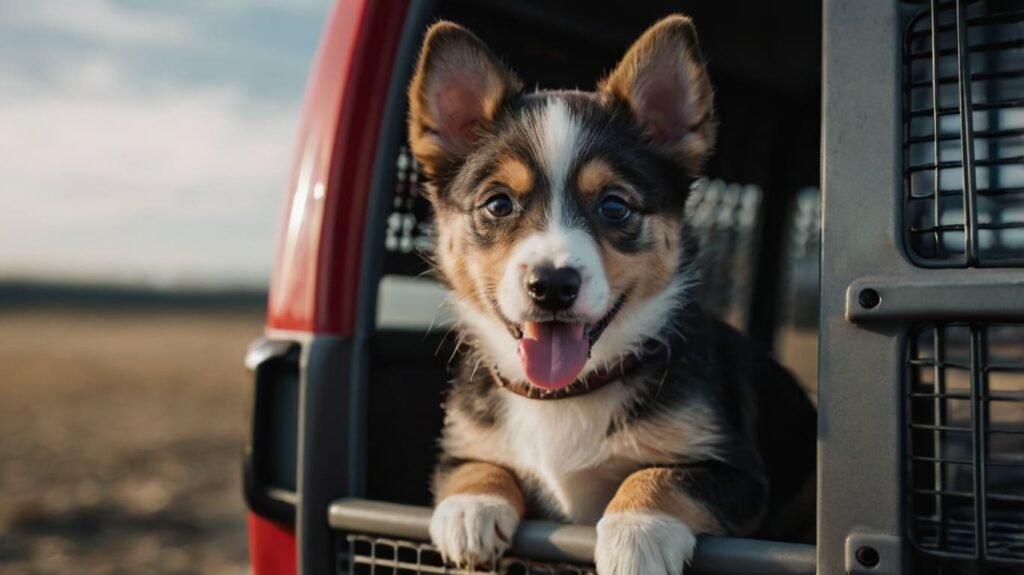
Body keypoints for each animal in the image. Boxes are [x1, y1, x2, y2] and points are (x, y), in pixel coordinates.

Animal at [407, 14, 815, 572]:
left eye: (615, 207)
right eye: (498, 204)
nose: (552, 285)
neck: (568, 393)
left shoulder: (738, 473)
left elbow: (660, 475)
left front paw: (636, 531)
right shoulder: (461, 447)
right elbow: (473, 466)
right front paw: (471, 508)